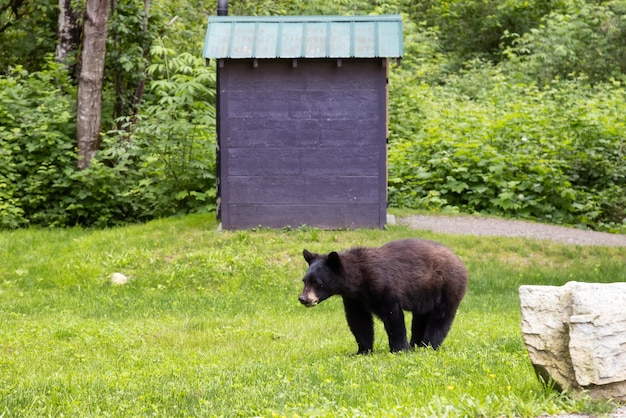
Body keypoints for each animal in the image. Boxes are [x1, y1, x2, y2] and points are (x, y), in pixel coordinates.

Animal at [298, 238, 468, 352]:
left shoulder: (382, 286)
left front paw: (399, 349)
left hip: (447, 288)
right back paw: (416, 345)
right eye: (305, 281)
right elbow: (359, 320)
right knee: (420, 318)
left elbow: (393, 316)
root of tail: (460, 261)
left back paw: (428, 345)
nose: (303, 299)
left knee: (440, 318)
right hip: (425, 294)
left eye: (318, 283)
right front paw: (362, 351)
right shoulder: (354, 298)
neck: (359, 279)